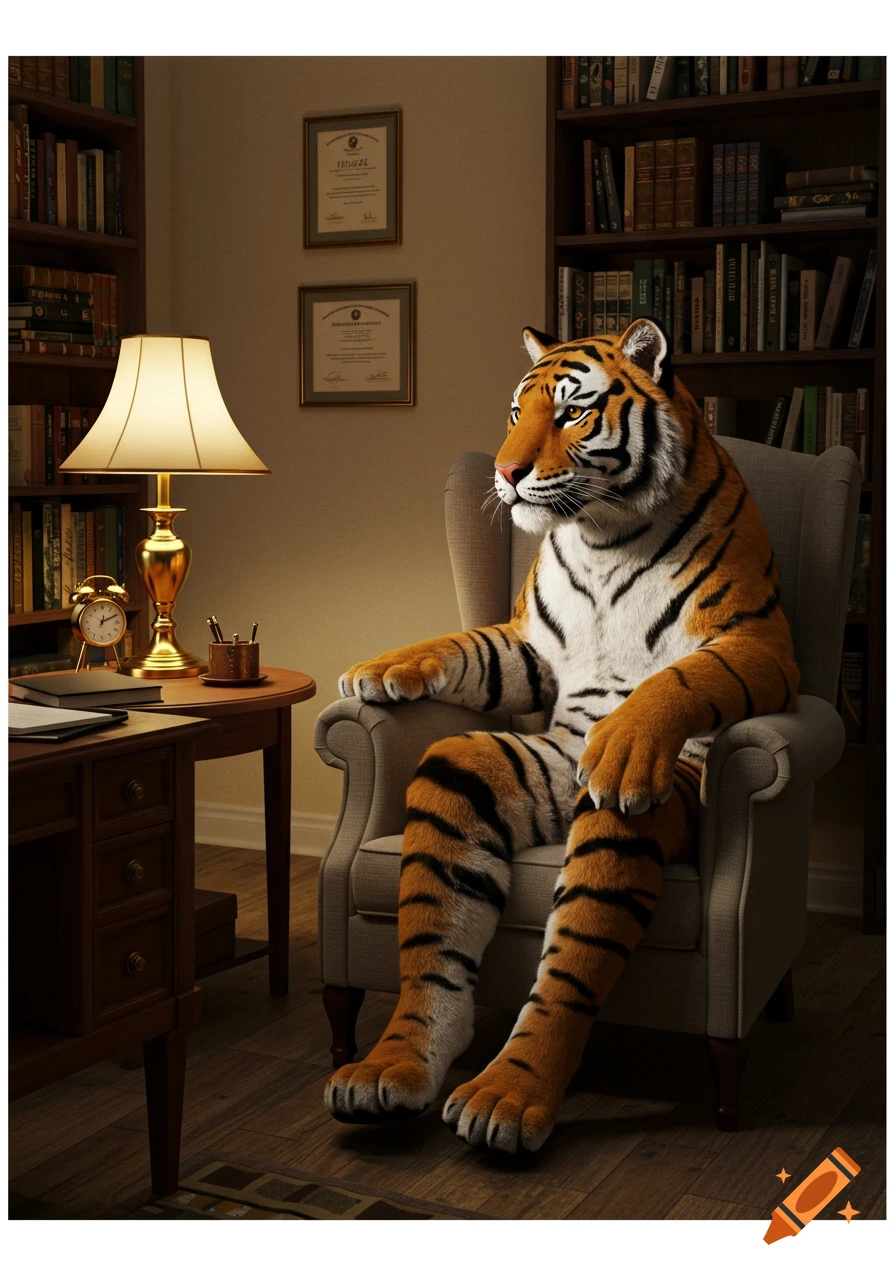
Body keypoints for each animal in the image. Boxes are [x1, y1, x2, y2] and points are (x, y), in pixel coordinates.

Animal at [323, 316, 799, 1154]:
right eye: (518, 412)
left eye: (574, 414)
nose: (507, 473)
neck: (605, 534)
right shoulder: (532, 650)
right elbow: (466, 648)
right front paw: (380, 670)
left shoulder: (761, 645)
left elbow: (680, 681)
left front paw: (628, 736)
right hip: (491, 770)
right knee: (439, 919)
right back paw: (393, 1070)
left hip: (639, 806)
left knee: (575, 952)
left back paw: (508, 1097)